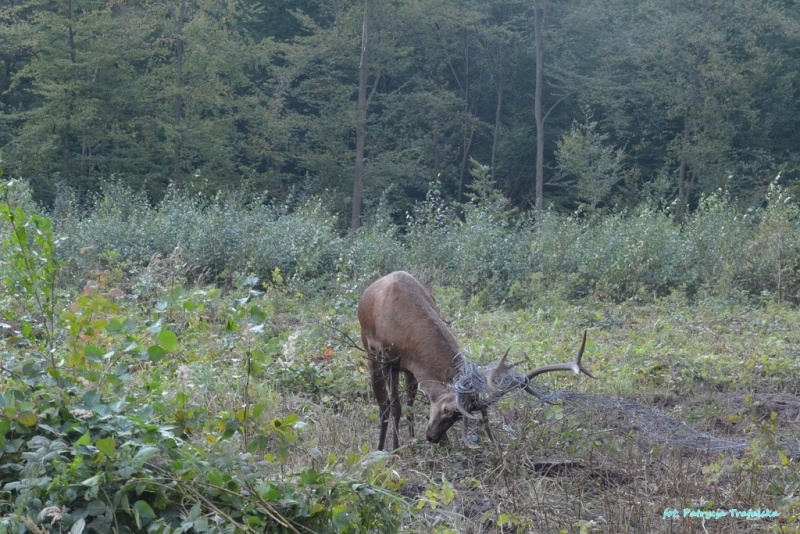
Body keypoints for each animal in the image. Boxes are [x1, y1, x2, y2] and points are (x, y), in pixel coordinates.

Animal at [356, 272, 592, 452]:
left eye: (457, 418)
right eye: (448, 410)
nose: (432, 437)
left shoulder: (409, 365)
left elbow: (410, 403)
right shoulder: (388, 358)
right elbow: (393, 406)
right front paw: (394, 450)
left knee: (411, 399)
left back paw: (411, 436)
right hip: (369, 348)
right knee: (383, 403)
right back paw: (381, 447)